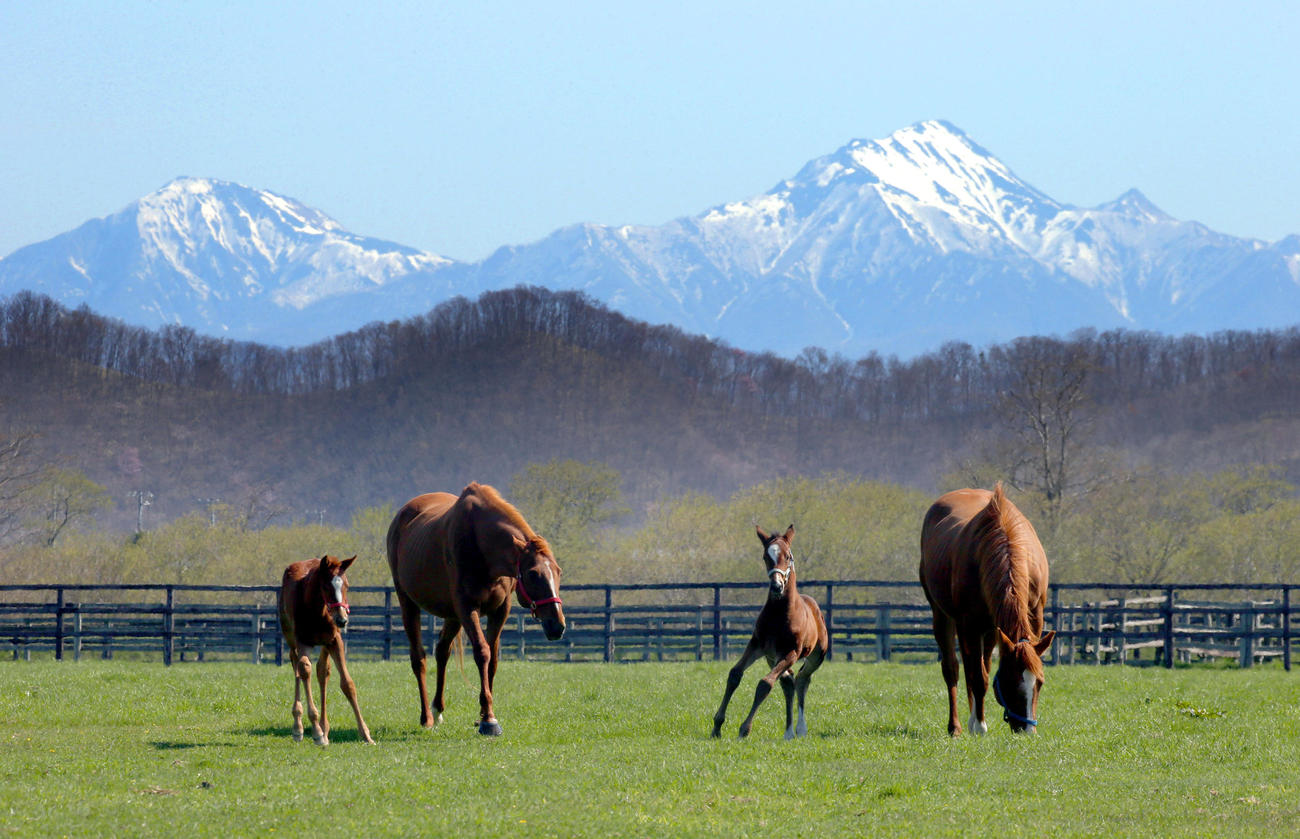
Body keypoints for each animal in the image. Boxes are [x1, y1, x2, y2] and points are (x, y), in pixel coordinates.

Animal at [277, 554, 374, 746]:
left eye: (347, 585)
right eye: (326, 586)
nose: (342, 620)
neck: (318, 612)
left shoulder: (335, 641)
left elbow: (347, 683)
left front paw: (366, 734)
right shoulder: (303, 641)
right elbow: (304, 670)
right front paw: (315, 731)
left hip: (324, 644)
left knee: (322, 671)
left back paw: (325, 728)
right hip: (290, 636)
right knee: (296, 666)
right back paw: (299, 726)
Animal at [386, 482, 565, 736]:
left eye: (558, 571)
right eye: (532, 574)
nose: (557, 625)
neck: (480, 544)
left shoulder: (499, 610)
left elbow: (493, 659)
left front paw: (483, 713)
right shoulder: (467, 608)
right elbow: (482, 653)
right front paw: (489, 720)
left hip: (452, 615)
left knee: (442, 651)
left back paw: (438, 709)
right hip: (409, 604)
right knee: (418, 658)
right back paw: (427, 717)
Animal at [711, 525, 828, 740]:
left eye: (788, 556)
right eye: (766, 556)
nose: (777, 586)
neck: (779, 615)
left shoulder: (791, 653)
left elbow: (765, 684)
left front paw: (744, 729)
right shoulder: (757, 646)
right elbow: (734, 675)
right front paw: (717, 726)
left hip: (815, 656)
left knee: (802, 680)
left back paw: (800, 729)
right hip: (772, 658)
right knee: (789, 683)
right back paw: (789, 732)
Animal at [919, 483, 1055, 736]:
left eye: (1039, 682)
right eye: (1010, 681)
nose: (1027, 730)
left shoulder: (1033, 618)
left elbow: (983, 671)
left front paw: (978, 721)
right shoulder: (970, 625)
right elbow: (978, 677)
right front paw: (980, 726)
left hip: (991, 629)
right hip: (944, 617)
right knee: (953, 669)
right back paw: (957, 727)